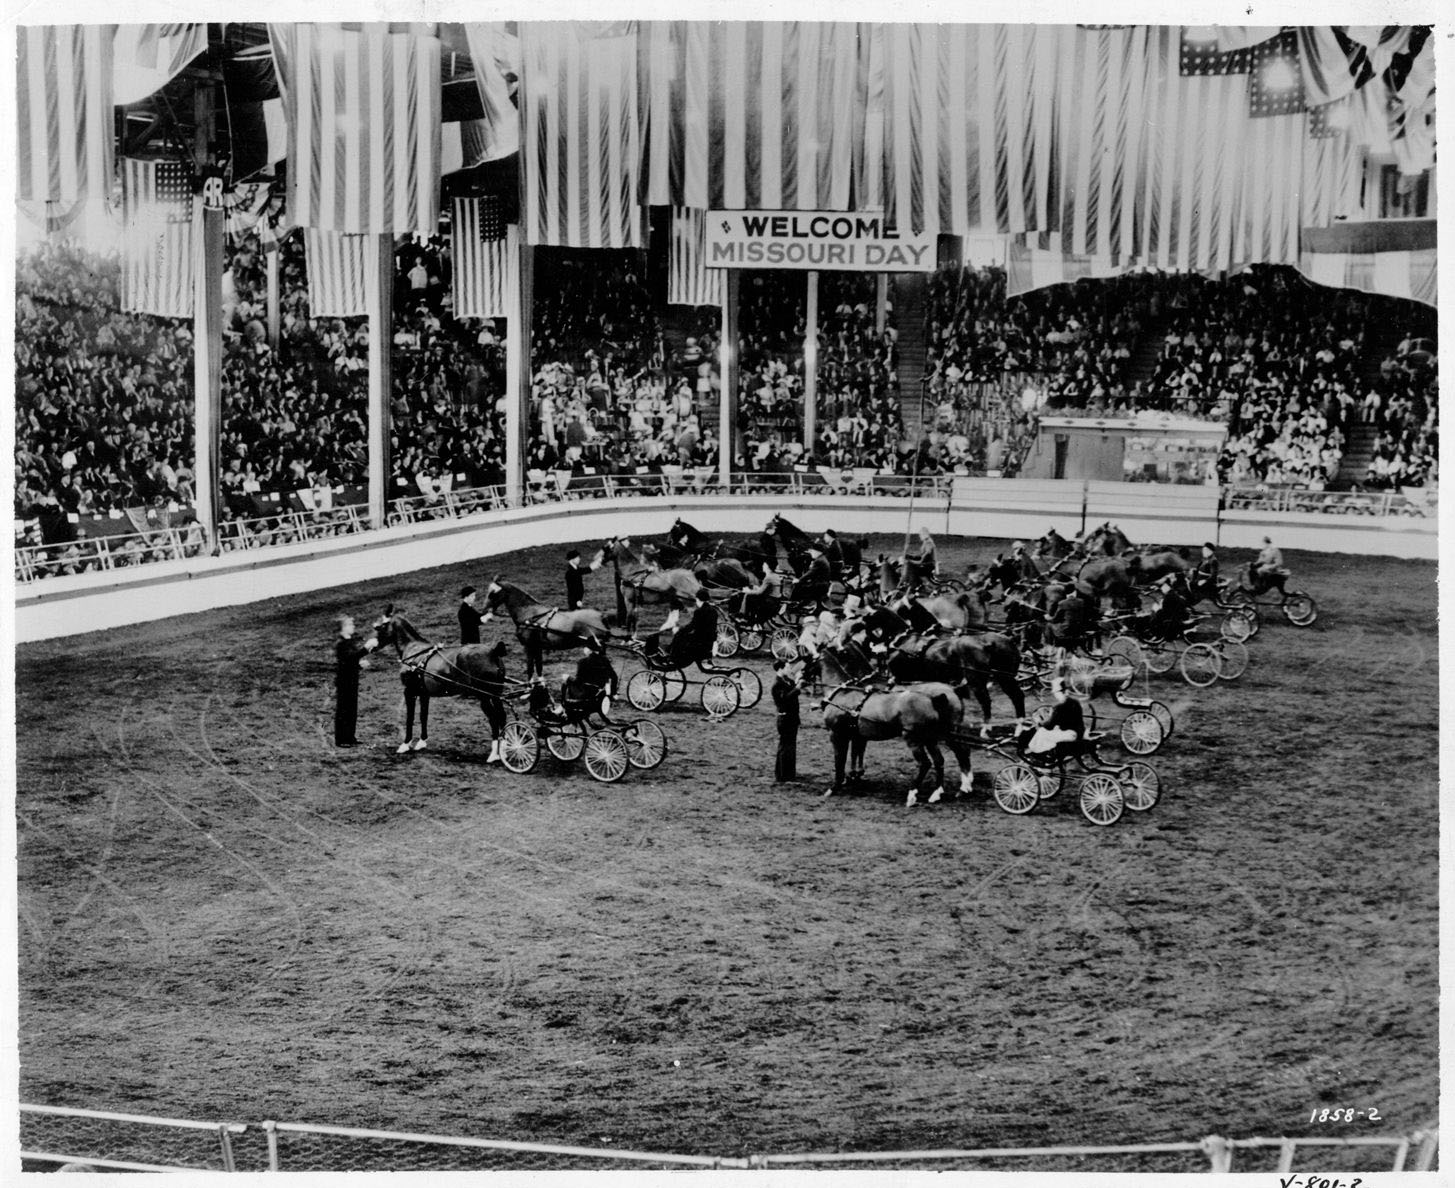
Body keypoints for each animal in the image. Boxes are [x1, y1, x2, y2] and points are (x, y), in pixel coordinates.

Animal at [372, 611, 509, 762]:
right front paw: (422, 742)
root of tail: (493, 651)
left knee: (494, 719)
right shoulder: (424, 694)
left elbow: (410, 718)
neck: (415, 652)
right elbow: (423, 716)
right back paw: (503, 751)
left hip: (484, 696)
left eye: (380, 627)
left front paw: (405, 744)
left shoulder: (409, 692)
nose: (371, 647)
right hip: (496, 694)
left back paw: (494, 754)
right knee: (502, 716)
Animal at [814, 649, 971, 809]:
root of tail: (949, 691)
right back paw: (940, 793)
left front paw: (837, 785)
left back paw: (917, 794)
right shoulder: (857, 734)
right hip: (932, 737)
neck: (846, 693)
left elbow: (840, 759)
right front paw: (853, 776)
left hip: (920, 737)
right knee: (943, 758)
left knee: (933, 760)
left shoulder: (838, 734)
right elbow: (856, 753)